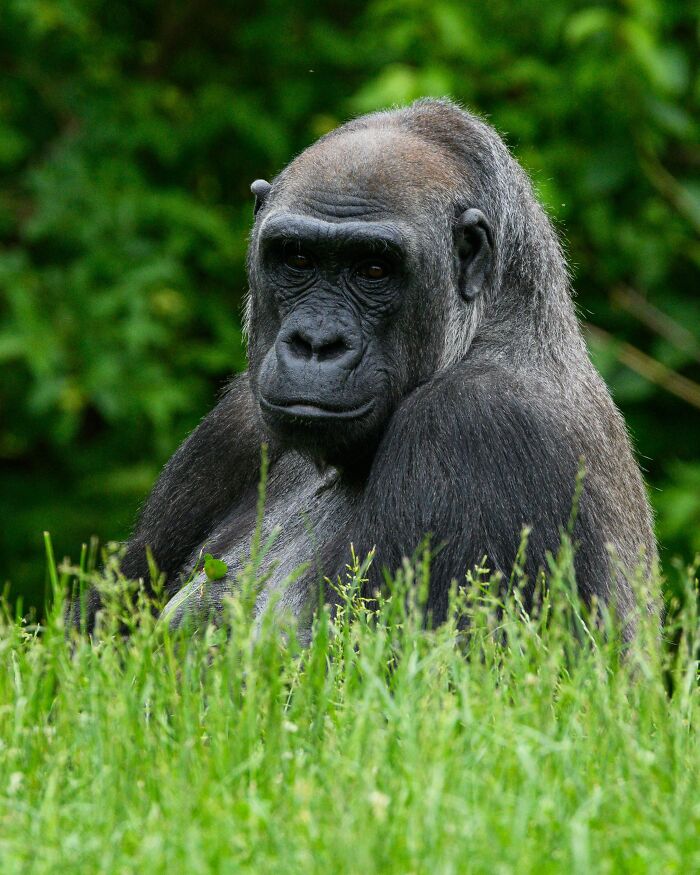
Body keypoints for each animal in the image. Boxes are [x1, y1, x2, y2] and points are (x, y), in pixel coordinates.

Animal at [73, 98, 657, 639]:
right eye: (297, 259)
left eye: (373, 269)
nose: (316, 343)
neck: (498, 321)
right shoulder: (235, 421)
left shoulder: (475, 422)